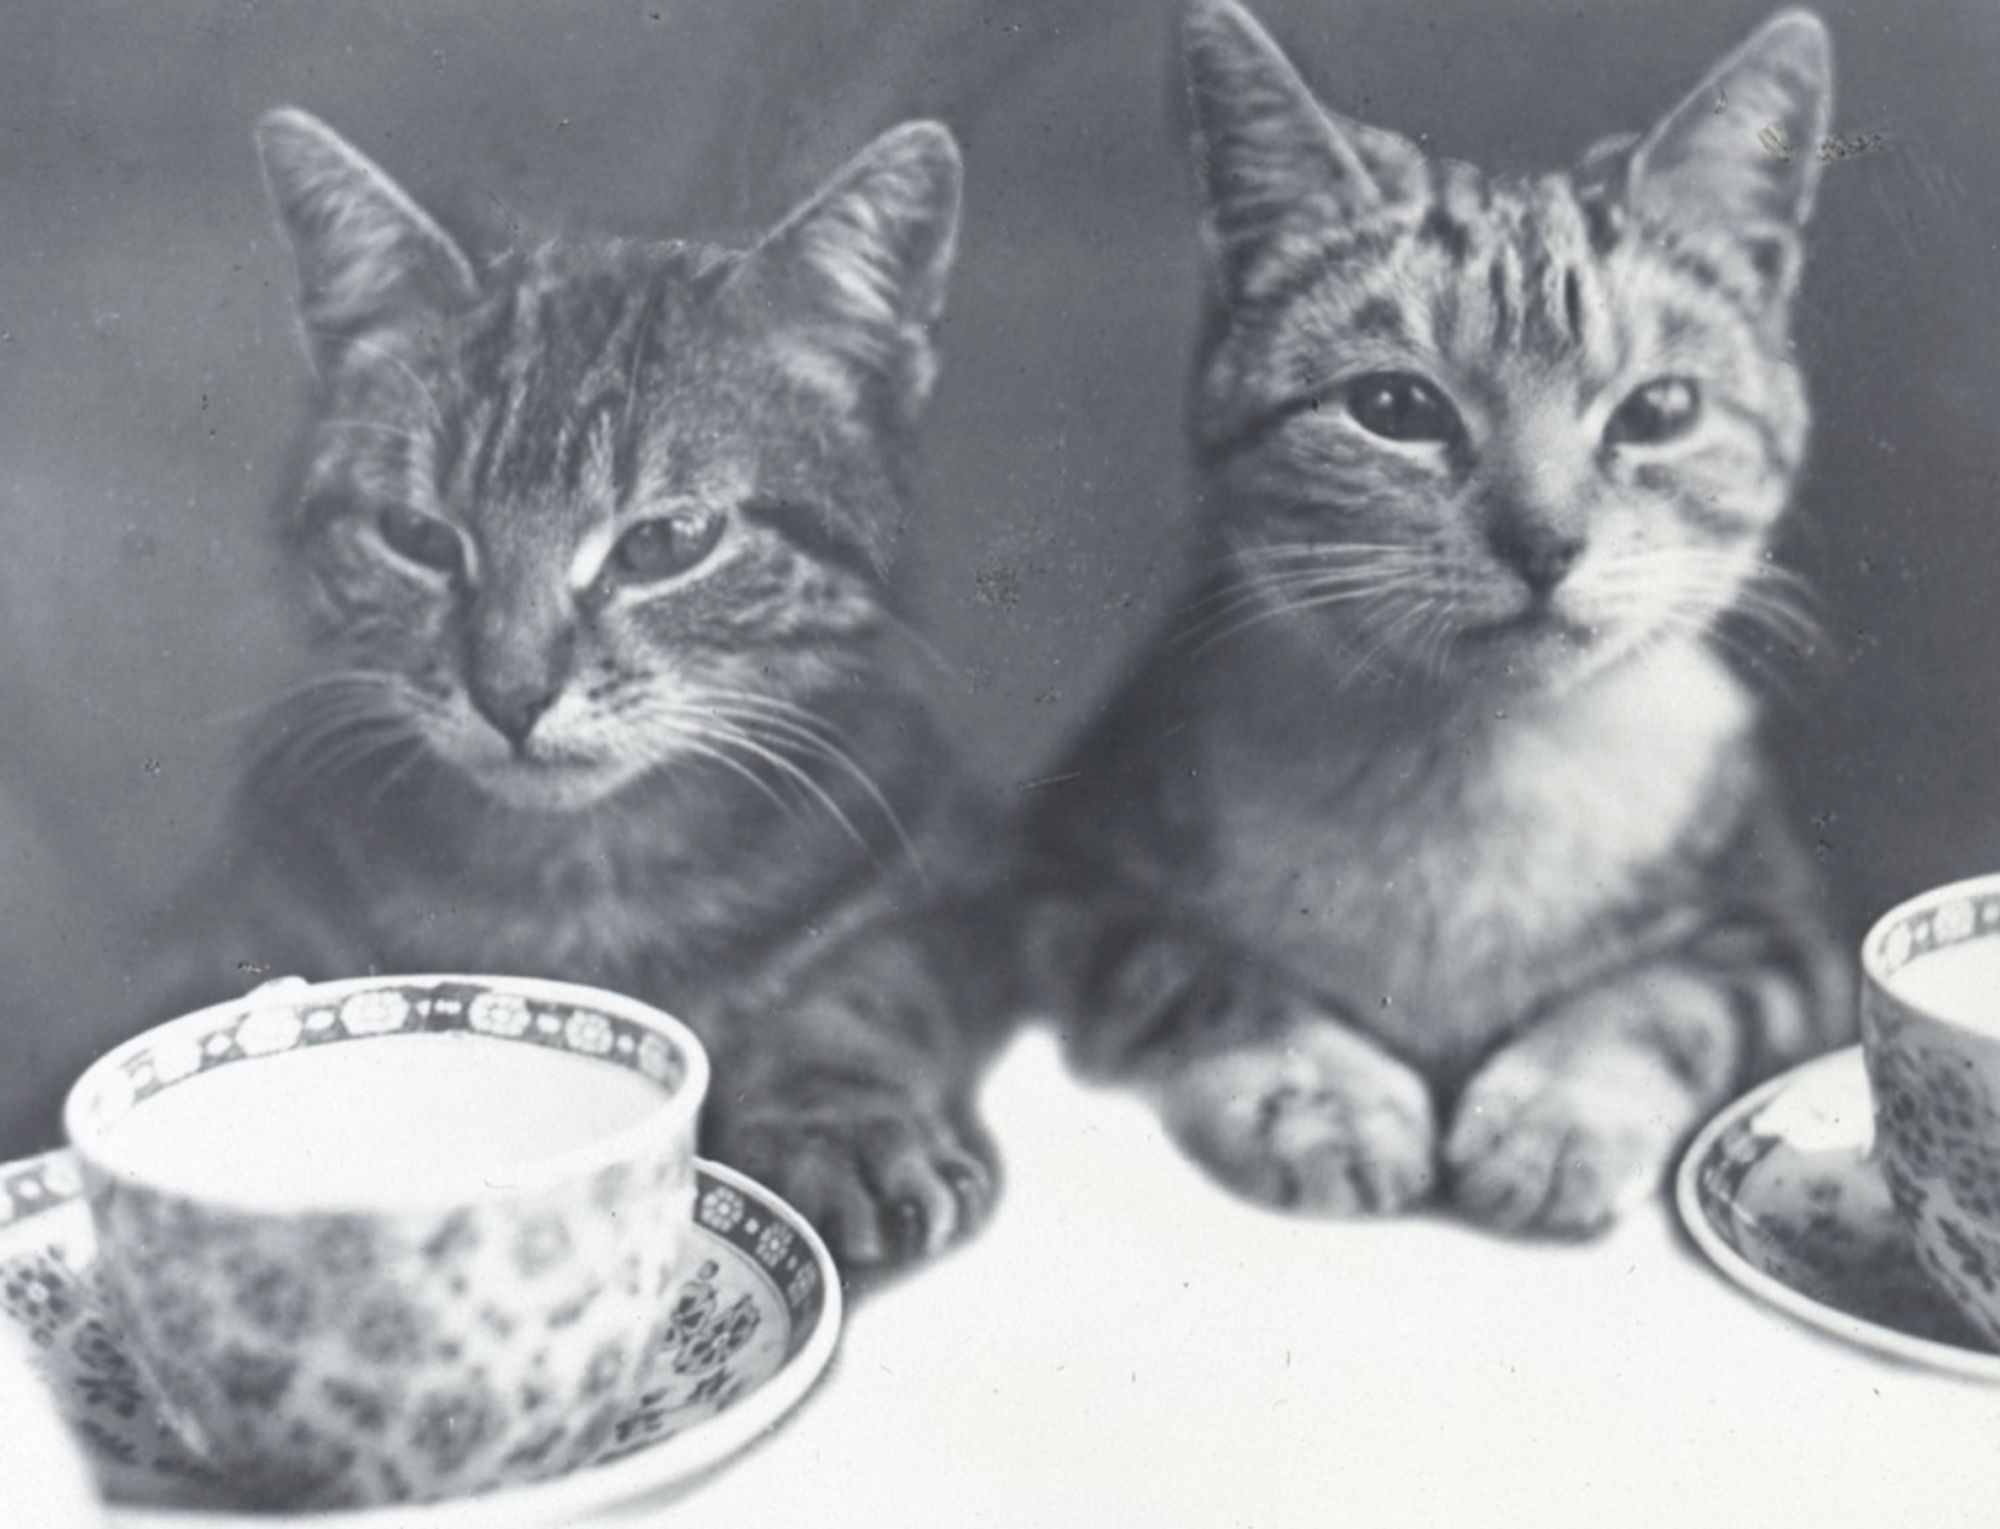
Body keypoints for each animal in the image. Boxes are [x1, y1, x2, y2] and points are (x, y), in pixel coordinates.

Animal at [152, 113, 1000, 1272]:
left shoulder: (952, 866)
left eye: (667, 541)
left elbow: (866, 978)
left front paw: (841, 1113)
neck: (584, 889)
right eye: (417, 536)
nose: (510, 693)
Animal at [1024, 0, 1848, 1232]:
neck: (1466, 766)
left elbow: (1662, 994)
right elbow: (1200, 975)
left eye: (1658, 411)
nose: (1545, 542)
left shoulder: (1787, 935)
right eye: (1392, 407)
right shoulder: (1057, 884)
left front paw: (1553, 1116)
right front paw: (1327, 1099)